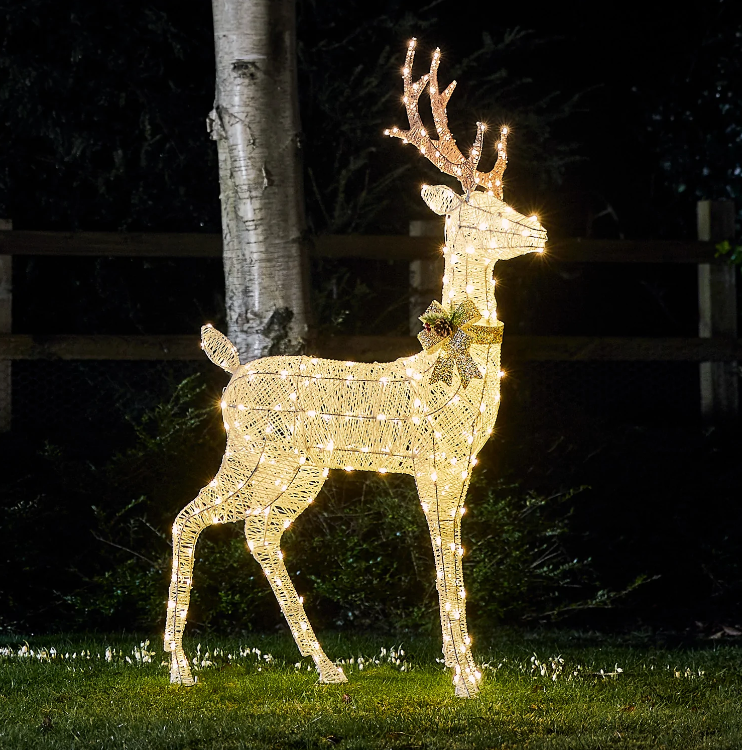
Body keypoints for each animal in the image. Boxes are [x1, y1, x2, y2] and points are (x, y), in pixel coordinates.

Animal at [165, 38, 546, 698]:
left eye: (504, 199)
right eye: (477, 213)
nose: (540, 230)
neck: (451, 365)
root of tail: (232, 373)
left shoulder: (461, 465)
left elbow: (456, 551)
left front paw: (470, 670)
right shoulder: (432, 460)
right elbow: (443, 554)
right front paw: (463, 677)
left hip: (299, 468)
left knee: (255, 529)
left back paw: (323, 666)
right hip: (256, 451)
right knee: (195, 518)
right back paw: (178, 667)